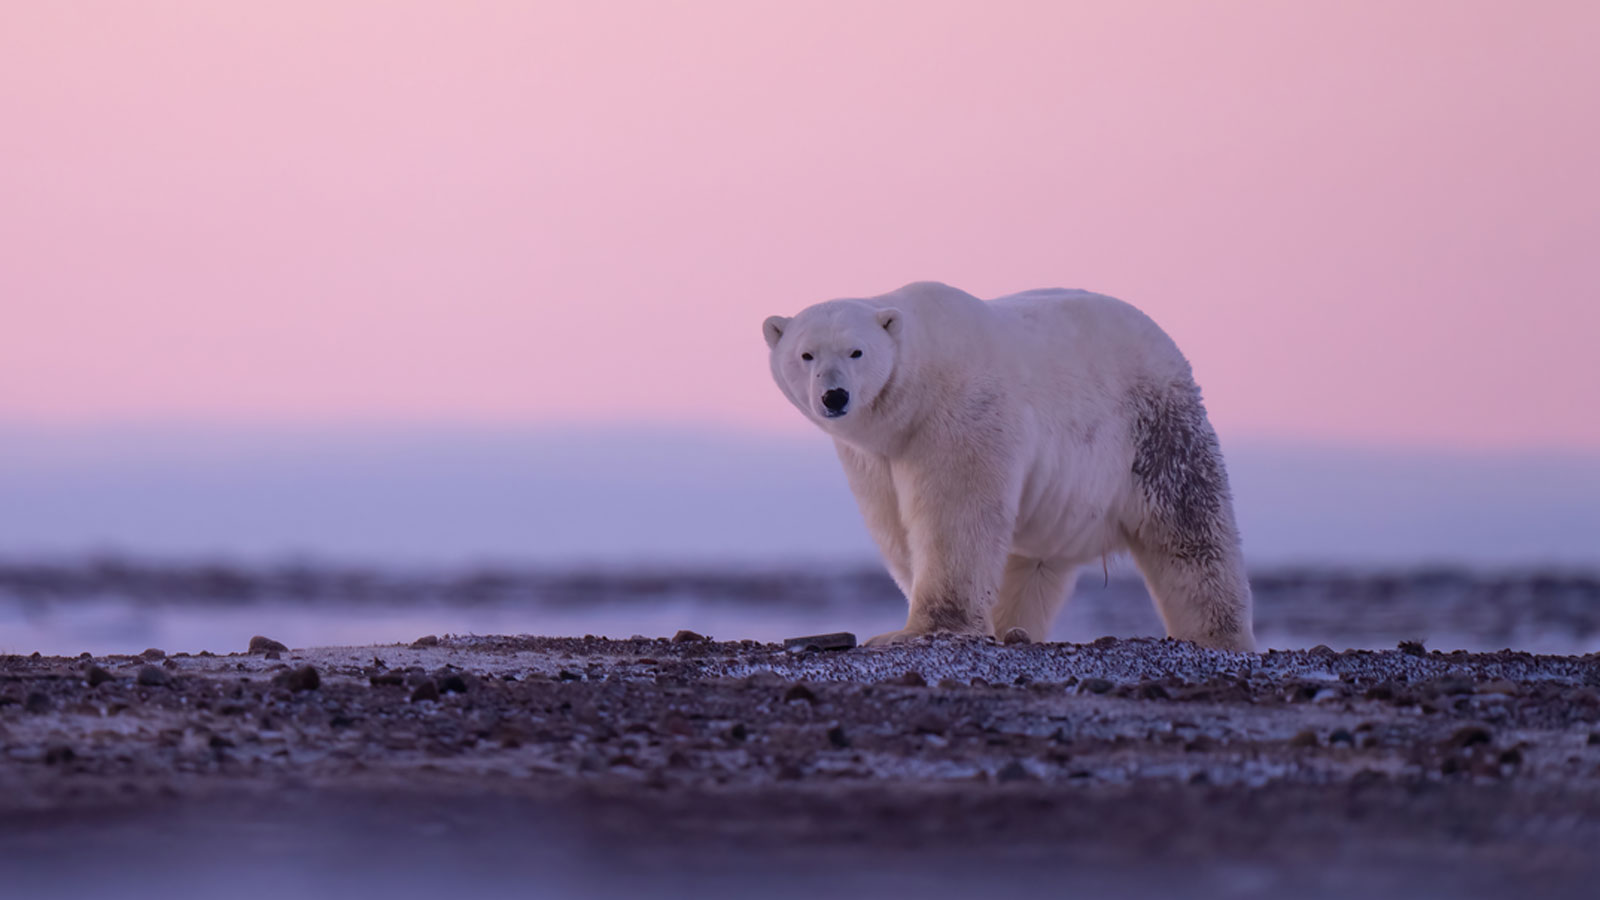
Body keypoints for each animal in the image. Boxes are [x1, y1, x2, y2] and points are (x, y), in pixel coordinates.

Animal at [768, 277, 1254, 646]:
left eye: (857, 352)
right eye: (805, 354)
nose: (834, 396)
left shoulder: (961, 413)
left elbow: (953, 514)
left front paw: (922, 629)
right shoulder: (874, 456)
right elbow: (892, 524)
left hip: (1154, 430)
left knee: (1189, 532)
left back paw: (1216, 635)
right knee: (1031, 568)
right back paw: (1014, 628)